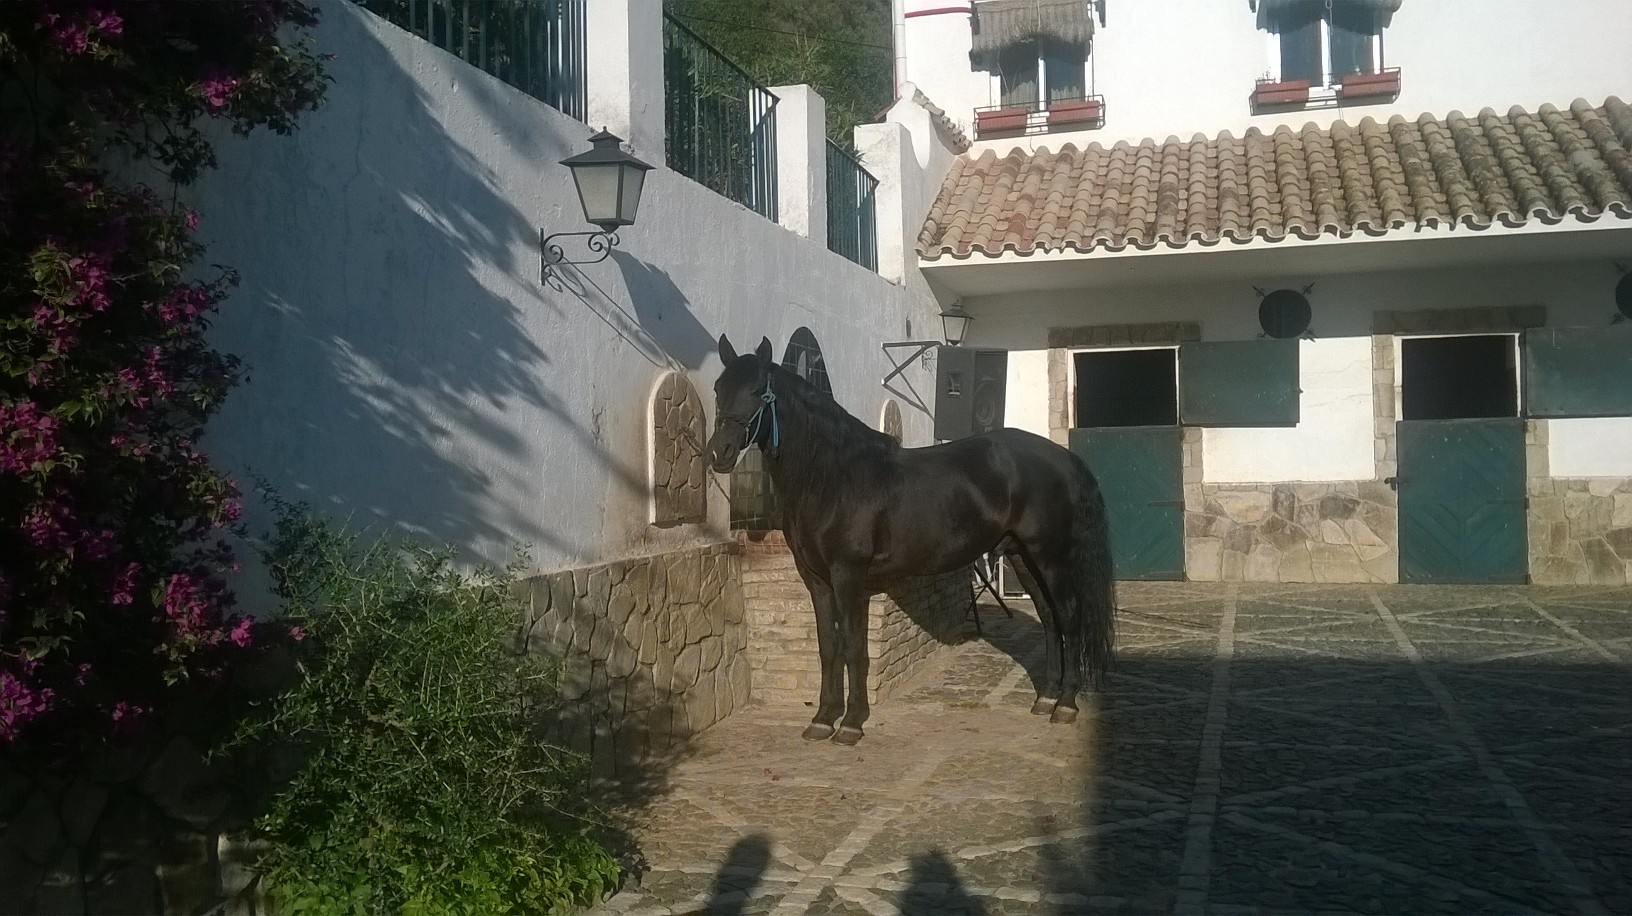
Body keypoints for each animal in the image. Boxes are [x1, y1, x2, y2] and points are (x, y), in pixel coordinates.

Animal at [705, 334, 1117, 746]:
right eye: (718, 389)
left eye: (758, 391)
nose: (718, 453)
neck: (831, 478)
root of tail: (1062, 457)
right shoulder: (816, 579)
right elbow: (827, 647)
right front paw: (822, 718)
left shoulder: (848, 576)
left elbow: (853, 647)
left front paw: (851, 723)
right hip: (1021, 556)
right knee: (1049, 618)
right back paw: (1046, 698)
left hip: (1051, 557)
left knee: (1068, 616)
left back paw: (1065, 704)